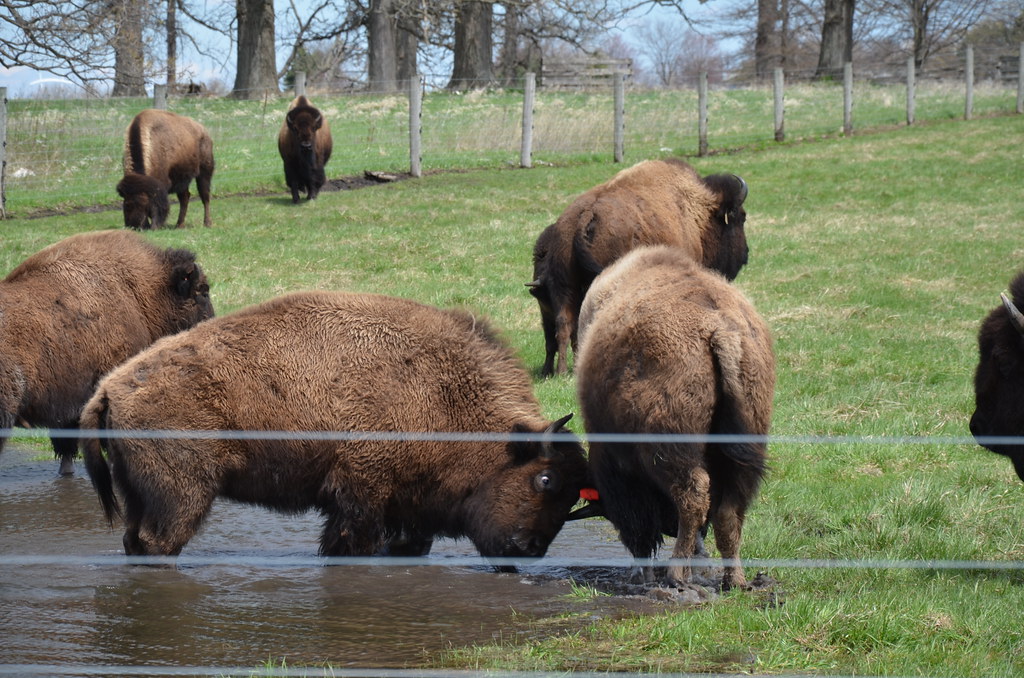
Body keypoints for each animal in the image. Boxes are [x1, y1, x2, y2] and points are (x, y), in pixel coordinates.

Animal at [81, 291, 588, 560]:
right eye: (545, 478)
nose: (530, 548)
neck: (441, 389)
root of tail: (110, 388)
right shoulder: (360, 495)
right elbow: (349, 544)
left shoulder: (403, 508)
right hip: (181, 496)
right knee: (159, 541)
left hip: (140, 494)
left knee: (133, 539)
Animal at [528, 158, 750, 376]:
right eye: (741, 217)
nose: (745, 254)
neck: (697, 212)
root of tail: (585, 217)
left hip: (564, 287)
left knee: (564, 324)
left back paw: (563, 371)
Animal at [574, 246, 775, 590]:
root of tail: (720, 327)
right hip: (745, 451)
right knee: (728, 512)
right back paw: (733, 579)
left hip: (670, 449)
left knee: (693, 496)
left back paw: (676, 572)